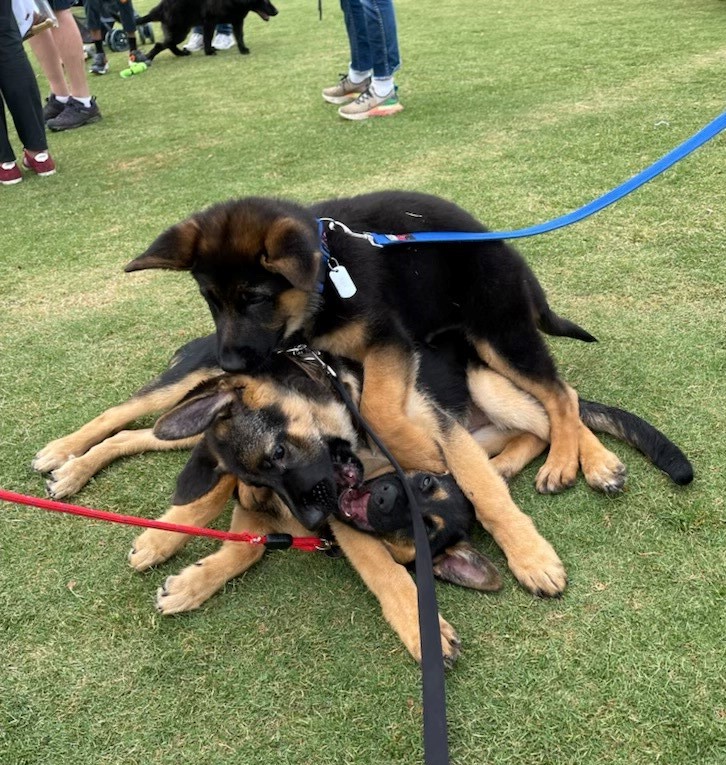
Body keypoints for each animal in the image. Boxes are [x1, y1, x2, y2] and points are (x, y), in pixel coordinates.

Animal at [122, 188, 628, 492]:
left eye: (256, 299)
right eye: (210, 300)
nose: (225, 364)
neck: (326, 277)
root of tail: (505, 249)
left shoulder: (388, 340)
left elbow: (378, 408)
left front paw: (417, 450)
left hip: (498, 334)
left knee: (560, 393)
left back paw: (571, 460)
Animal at [138, 0, 280, 59]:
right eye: (265, 0)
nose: (277, 12)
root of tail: (160, 7)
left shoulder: (237, 21)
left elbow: (240, 37)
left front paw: (243, 49)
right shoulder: (209, 22)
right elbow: (207, 38)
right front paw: (209, 52)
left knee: (168, 44)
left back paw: (181, 54)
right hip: (180, 31)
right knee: (160, 44)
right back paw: (148, 57)